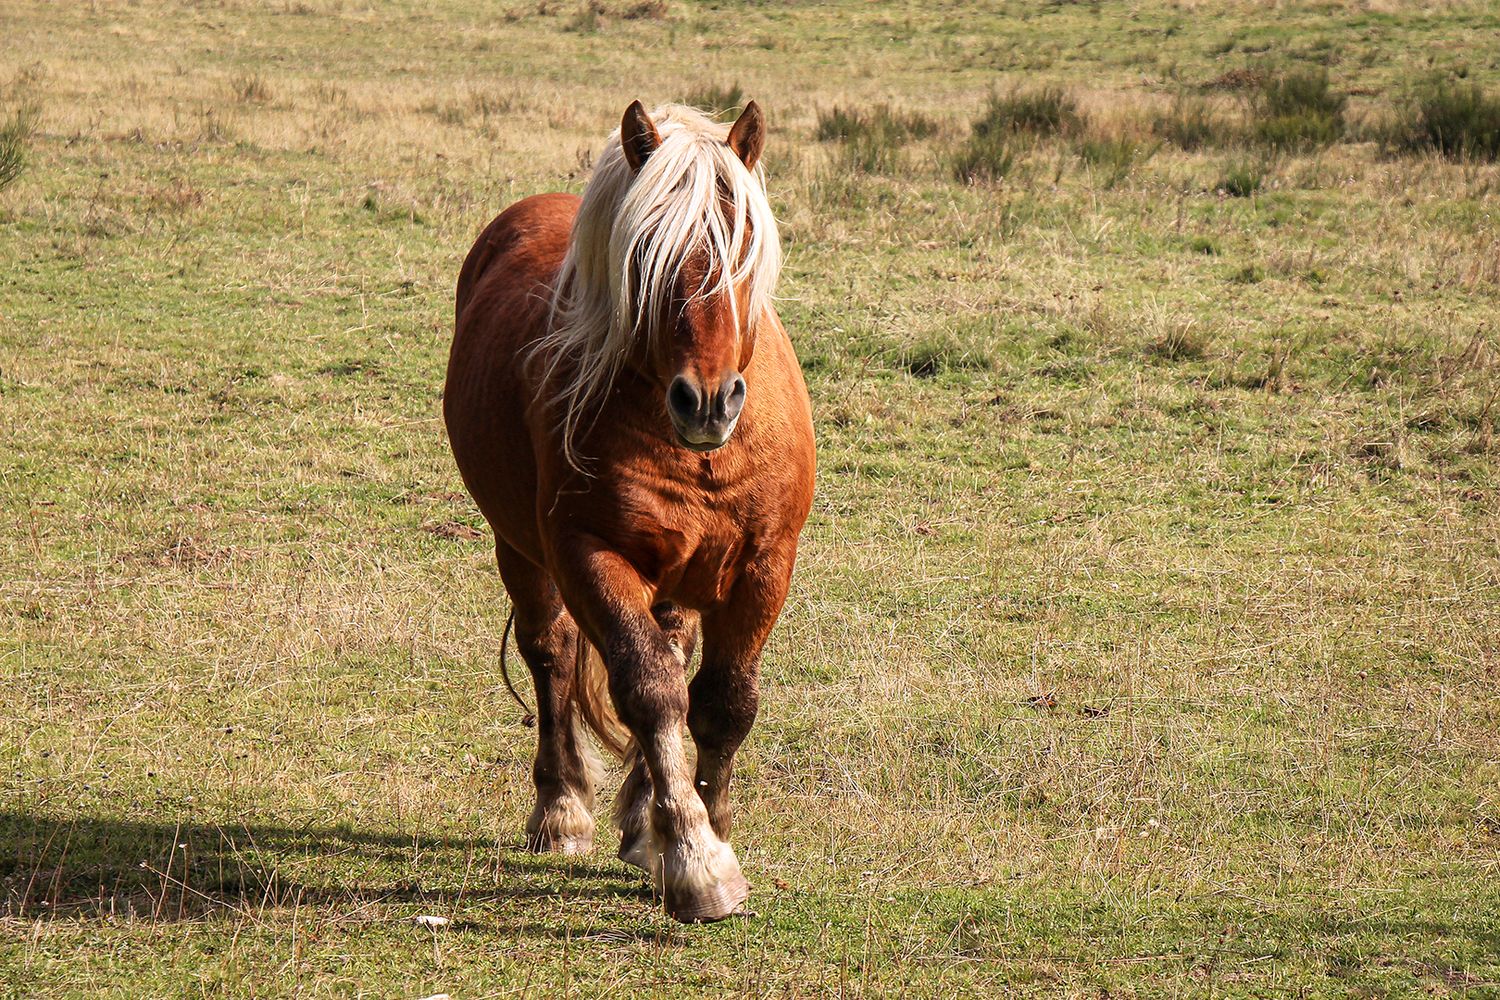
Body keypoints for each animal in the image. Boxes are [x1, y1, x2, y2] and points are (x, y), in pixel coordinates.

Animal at [444, 101, 815, 922]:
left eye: (743, 245)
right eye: (645, 255)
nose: (707, 401)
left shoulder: (764, 564)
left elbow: (723, 702)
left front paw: (697, 825)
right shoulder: (589, 555)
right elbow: (648, 692)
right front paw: (697, 860)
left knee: (672, 656)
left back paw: (640, 819)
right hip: (521, 550)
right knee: (552, 655)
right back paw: (563, 811)